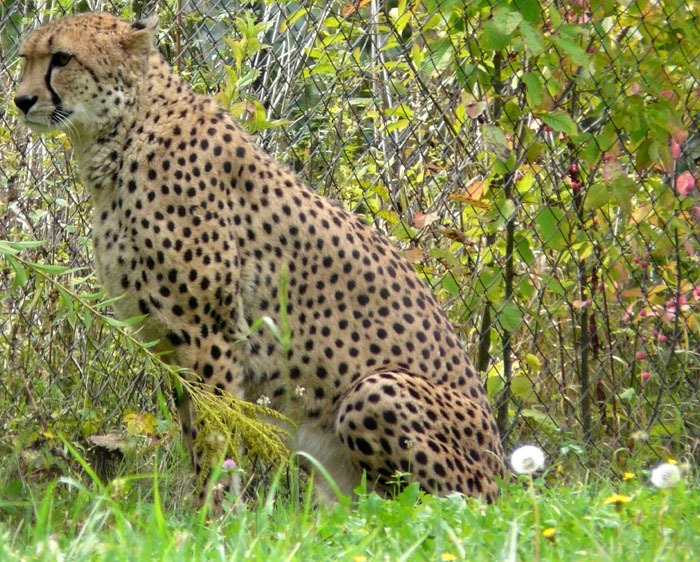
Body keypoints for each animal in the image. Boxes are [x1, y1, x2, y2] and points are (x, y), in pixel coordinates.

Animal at [15, 12, 504, 504]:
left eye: (62, 58)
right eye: (26, 58)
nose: (20, 100)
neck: (124, 135)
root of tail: (503, 471)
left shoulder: (208, 334)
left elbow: (214, 433)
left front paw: (214, 513)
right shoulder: (166, 342)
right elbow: (195, 430)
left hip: (378, 391)